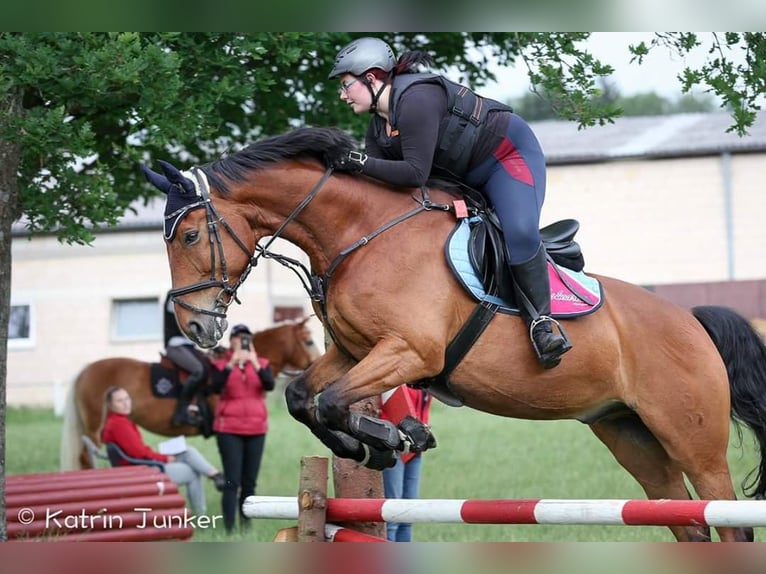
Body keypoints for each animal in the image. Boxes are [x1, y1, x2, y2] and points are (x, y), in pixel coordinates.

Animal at [141, 127, 766, 544]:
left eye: (190, 235)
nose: (195, 325)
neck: (363, 234)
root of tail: (690, 320)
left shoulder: (410, 352)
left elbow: (335, 401)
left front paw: (389, 438)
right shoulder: (353, 350)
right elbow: (303, 397)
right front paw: (373, 443)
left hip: (694, 442)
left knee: (727, 521)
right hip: (631, 436)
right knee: (687, 523)